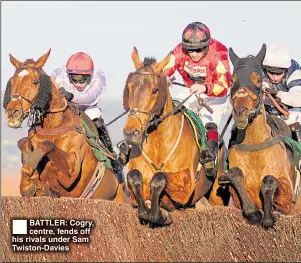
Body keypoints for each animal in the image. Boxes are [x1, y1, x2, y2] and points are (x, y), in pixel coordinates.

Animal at [2, 48, 129, 203]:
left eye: (35, 82)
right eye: (12, 81)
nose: (12, 113)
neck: (52, 126)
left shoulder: (71, 171)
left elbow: (46, 145)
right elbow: (23, 142)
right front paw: (30, 178)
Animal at [120, 47, 226, 227]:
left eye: (155, 90)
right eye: (129, 87)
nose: (131, 132)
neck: (158, 143)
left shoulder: (186, 185)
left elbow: (159, 177)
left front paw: (158, 213)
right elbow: (134, 177)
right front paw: (148, 210)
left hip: (217, 194)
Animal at [213, 44, 300, 228]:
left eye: (259, 80)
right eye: (232, 80)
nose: (240, 112)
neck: (254, 145)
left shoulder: (288, 197)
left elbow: (270, 181)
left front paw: (269, 218)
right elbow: (235, 174)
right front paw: (253, 213)